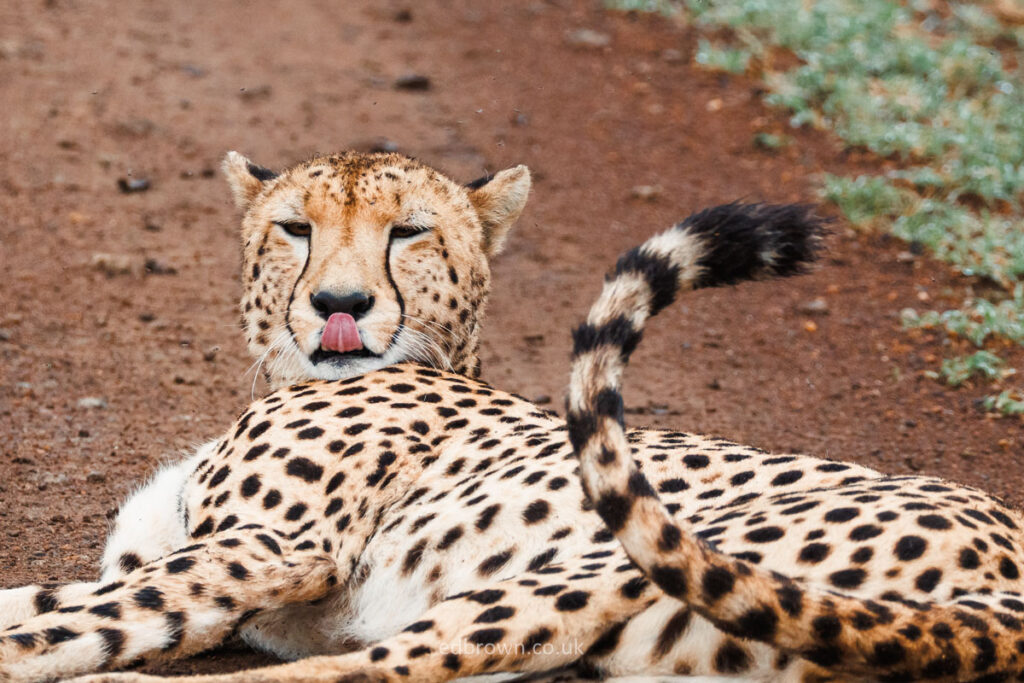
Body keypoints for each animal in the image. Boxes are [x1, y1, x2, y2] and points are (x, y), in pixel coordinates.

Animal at [2, 152, 1023, 683]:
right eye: (295, 229)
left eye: (409, 232)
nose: (340, 303)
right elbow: (53, 601)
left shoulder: (269, 547)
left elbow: (60, 624)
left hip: (577, 569)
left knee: (343, 672)